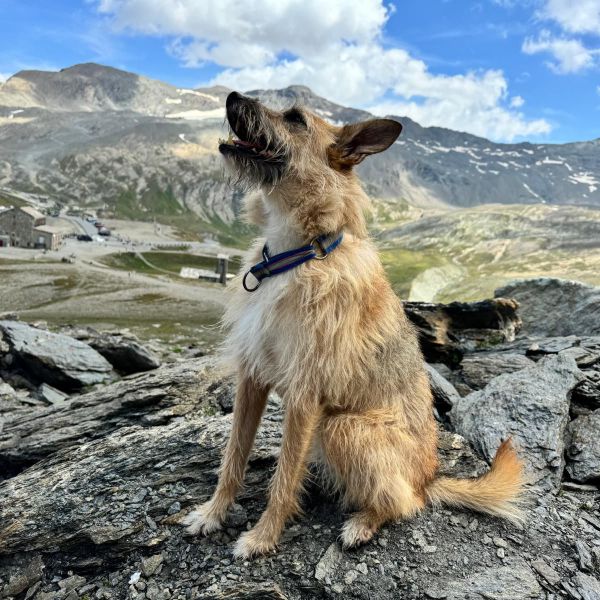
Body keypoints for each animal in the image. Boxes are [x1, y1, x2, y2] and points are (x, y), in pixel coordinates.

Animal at [183, 90, 524, 556]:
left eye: (295, 118)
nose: (233, 95)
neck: (295, 254)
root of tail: (429, 478)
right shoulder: (251, 377)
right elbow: (233, 456)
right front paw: (213, 514)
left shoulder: (306, 392)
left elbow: (284, 479)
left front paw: (263, 537)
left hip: (342, 426)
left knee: (405, 502)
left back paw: (363, 522)